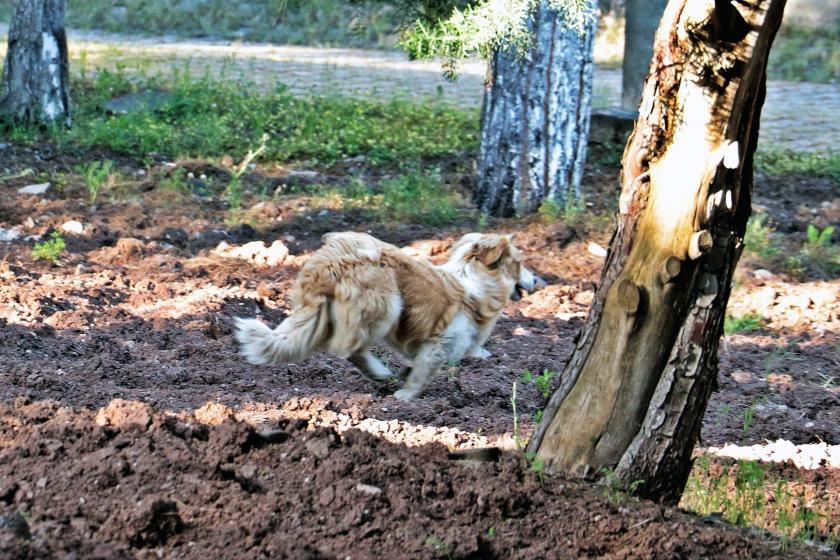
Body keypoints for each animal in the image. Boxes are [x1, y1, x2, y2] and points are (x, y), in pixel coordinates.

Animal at [233, 230, 540, 400]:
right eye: (520, 262)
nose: (539, 281)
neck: (473, 279)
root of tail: (332, 265)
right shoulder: (440, 341)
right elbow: (423, 370)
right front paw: (404, 397)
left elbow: (415, 364)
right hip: (389, 303)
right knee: (350, 349)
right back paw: (380, 373)